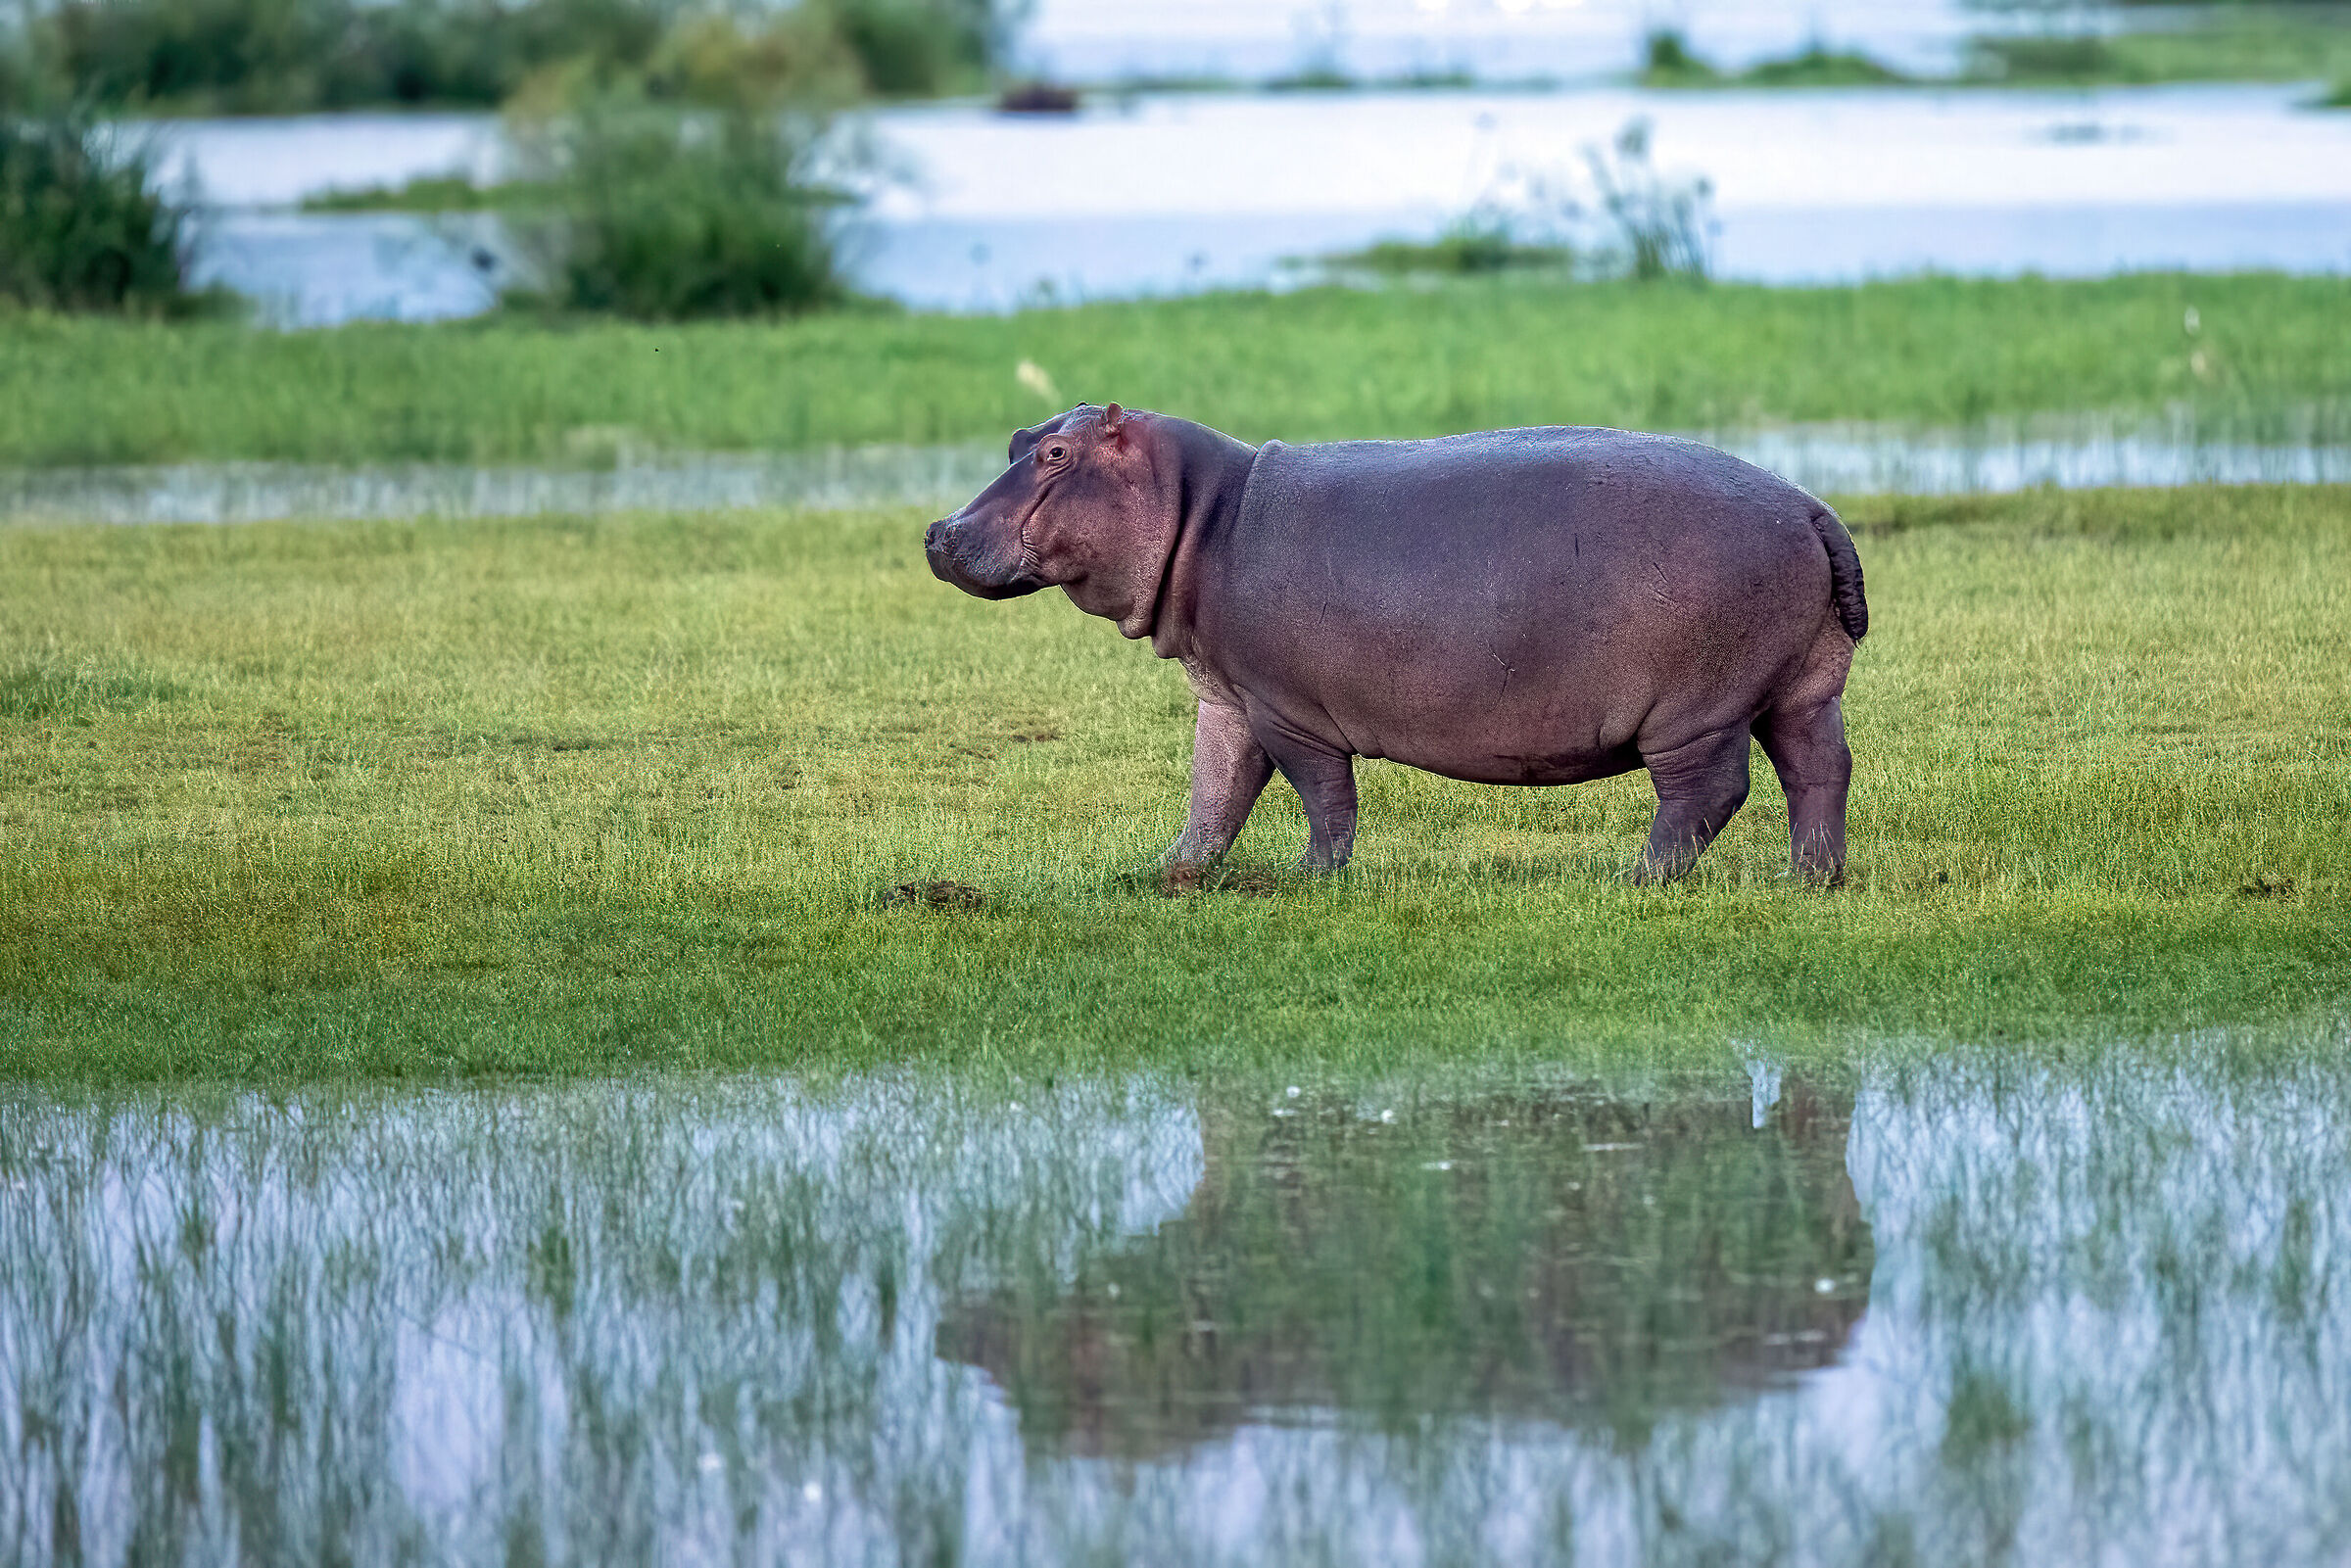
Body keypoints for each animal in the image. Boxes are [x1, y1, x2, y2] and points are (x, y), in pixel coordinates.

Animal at [925, 405, 1866, 883]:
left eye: (1055, 453)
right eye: (1015, 440)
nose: (938, 531)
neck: (1201, 510)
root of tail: (1810, 506)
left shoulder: (1287, 709)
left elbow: (1320, 796)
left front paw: (1312, 879)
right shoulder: (1226, 695)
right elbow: (1213, 791)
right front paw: (1166, 871)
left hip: (1695, 709)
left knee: (1708, 792)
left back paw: (1635, 879)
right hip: (1802, 684)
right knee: (1818, 769)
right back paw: (1811, 878)